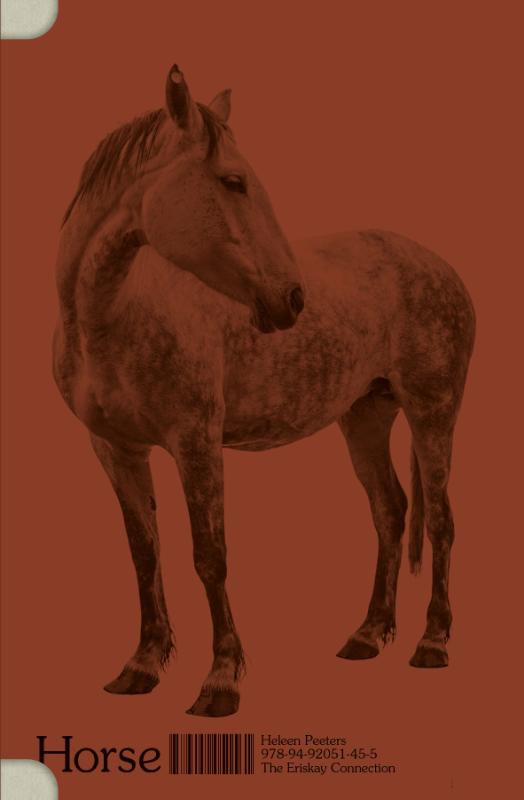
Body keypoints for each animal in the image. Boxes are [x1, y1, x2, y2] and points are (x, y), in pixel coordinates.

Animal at [53, 63, 475, 717]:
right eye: (233, 182)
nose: (292, 300)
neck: (114, 313)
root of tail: (438, 265)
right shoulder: (115, 449)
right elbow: (145, 553)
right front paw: (141, 666)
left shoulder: (196, 442)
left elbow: (210, 556)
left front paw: (220, 681)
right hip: (365, 417)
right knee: (390, 511)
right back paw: (366, 635)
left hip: (434, 413)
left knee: (440, 522)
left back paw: (432, 642)